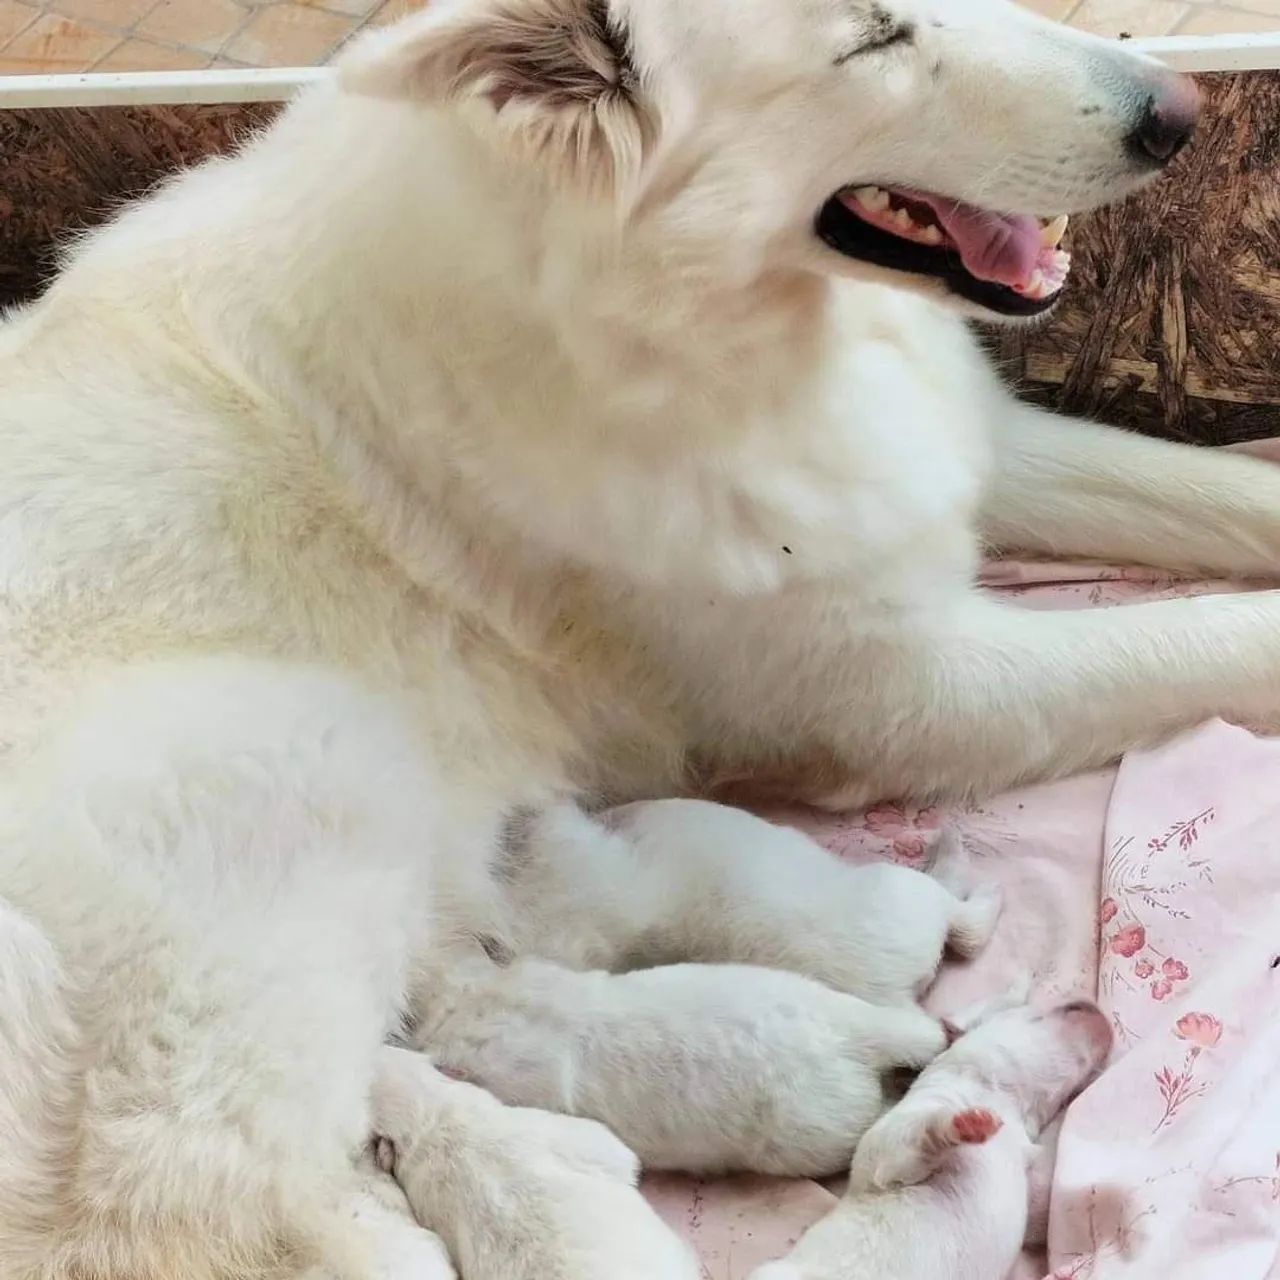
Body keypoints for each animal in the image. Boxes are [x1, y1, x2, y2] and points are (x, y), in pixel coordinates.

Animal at [747, 998, 1111, 1280]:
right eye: (1036, 1014)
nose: (1101, 1013)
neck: (998, 1100)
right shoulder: (887, 1142)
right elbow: (903, 1145)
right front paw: (958, 1125)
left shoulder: (1026, 1171)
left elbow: (1043, 1207)